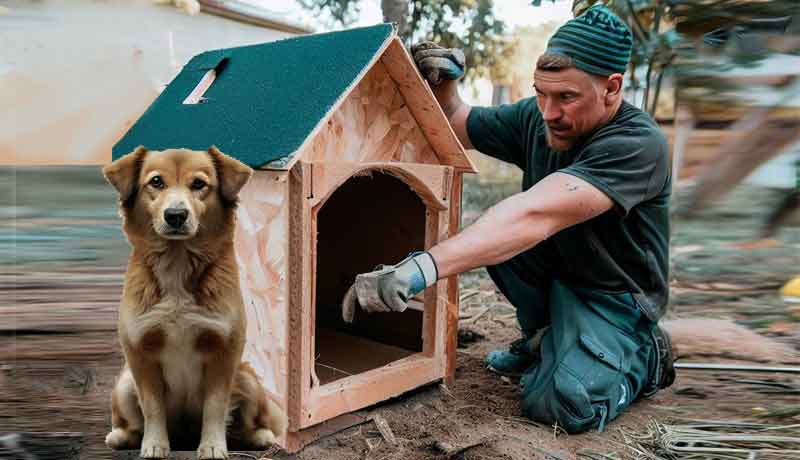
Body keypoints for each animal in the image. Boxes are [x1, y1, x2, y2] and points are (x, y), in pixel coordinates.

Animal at [102, 146, 284, 456]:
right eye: (156, 182)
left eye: (199, 184)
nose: (176, 215)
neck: (177, 261)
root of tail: (185, 435)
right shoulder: (140, 351)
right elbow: (152, 407)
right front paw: (154, 445)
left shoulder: (224, 349)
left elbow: (215, 406)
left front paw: (212, 447)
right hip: (124, 384)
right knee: (132, 421)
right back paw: (123, 436)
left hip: (247, 380)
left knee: (249, 422)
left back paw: (258, 436)